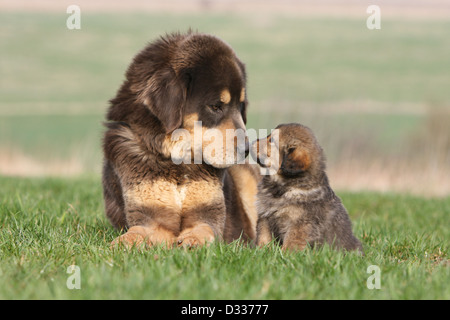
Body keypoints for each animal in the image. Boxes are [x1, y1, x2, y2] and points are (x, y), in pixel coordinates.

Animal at [101, 31, 260, 248]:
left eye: (240, 106)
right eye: (216, 106)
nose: (247, 149)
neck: (178, 165)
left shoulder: (207, 214)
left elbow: (204, 229)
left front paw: (193, 240)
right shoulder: (151, 216)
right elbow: (138, 231)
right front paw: (122, 243)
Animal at [251, 122, 364, 252]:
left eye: (272, 140)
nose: (252, 141)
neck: (285, 186)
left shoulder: (300, 223)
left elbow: (291, 241)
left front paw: (285, 253)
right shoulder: (265, 216)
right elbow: (264, 237)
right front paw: (262, 251)